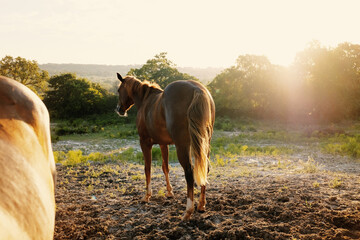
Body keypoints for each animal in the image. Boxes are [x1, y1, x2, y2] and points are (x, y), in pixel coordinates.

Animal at [116, 74, 215, 220]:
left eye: (119, 90)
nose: (119, 109)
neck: (145, 101)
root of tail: (197, 90)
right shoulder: (163, 144)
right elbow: (165, 167)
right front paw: (169, 192)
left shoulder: (144, 142)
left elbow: (148, 168)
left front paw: (147, 196)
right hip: (204, 143)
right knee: (205, 168)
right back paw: (201, 205)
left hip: (182, 146)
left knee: (189, 172)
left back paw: (188, 211)